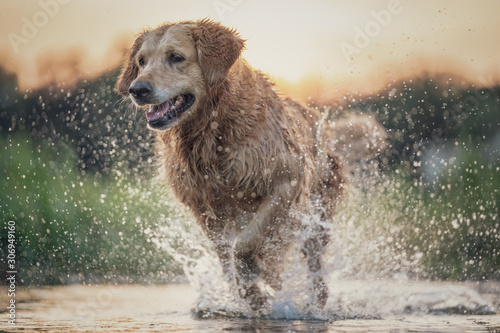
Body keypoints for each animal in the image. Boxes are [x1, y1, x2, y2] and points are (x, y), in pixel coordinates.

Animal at [118, 18, 386, 312]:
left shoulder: (287, 185)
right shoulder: (207, 210)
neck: (214, 130)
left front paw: (257, 284)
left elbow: (245, 244)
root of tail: (325, 129)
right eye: (141, 61)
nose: (137, 90)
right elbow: (227, 257)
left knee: (315, 271)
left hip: (317, 220)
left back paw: (312, 305)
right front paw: (247, 293)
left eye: (175, 57)